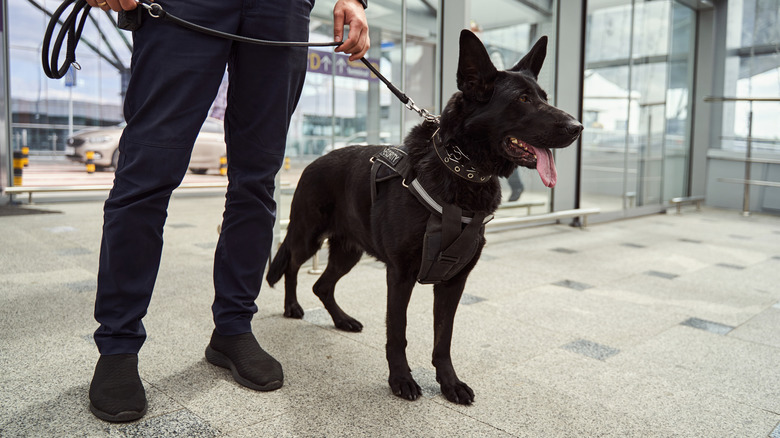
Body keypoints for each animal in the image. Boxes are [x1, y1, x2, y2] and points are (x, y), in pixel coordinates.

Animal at [268, 30, 580, 404]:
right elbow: (398, 332)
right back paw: (291, 306)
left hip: (349, 251)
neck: (460, 170)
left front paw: (449, 383)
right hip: (308, 237)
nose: (577, 127)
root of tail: (313, 163)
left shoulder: (454, 281)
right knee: (291, 264)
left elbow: (443, 339)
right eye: (522, 99)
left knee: (322, 285)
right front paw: (401, 379)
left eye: (544, 98)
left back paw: (342, 320)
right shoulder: (400, 276)